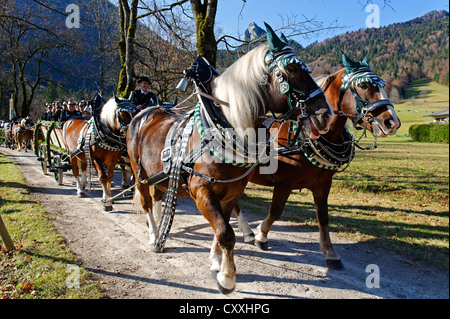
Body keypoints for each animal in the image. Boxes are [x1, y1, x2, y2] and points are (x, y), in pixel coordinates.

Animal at [126, 24, 334, 296]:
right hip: (138, 171)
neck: (221, 128)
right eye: (293, 69)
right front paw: (227, 277)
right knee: (146, 201)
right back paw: (153, 235)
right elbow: (225, 232)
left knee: (159, 195)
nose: (327, 115)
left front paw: (216, 262)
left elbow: (221, 229)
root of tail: (146, 112)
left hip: (159, 175)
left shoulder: (232, 192)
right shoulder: (201, 190)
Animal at [232, 52, 400, 270]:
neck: (306, 138)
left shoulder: (323, 184)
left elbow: (323, 217)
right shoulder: (284, 183)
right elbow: (276, 211)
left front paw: (330, 253)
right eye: (364, 86)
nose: (392, 122)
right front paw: (262, 235)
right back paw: (247, 230)